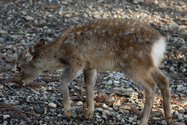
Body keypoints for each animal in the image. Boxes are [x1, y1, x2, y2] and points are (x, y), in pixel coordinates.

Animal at [16, 18, 172, 125]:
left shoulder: (77, 61)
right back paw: (168, 117)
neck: (59, 52)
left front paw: (68, 113)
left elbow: (63, 79)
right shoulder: (90, 65)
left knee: (151, 86)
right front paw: (88, 114)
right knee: (164, 80)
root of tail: (160, 44)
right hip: (149, 66)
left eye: (18, 67)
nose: (19, 82)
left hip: (133, 65)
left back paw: (143, 121)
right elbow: (89, 84)